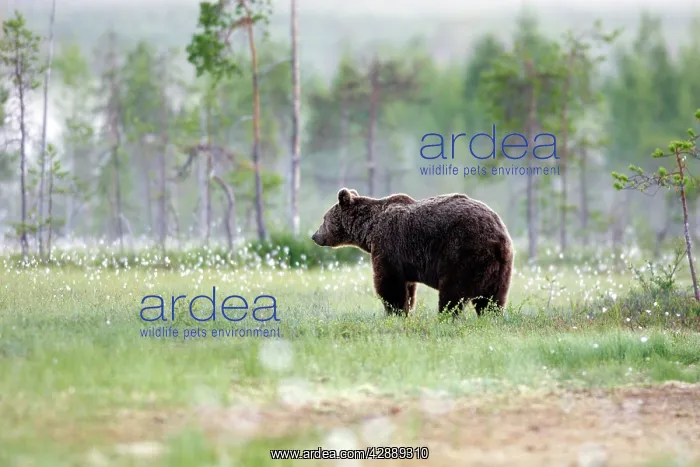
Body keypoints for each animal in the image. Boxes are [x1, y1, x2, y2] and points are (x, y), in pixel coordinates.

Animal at [311, 188, 514, 317]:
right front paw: (406, 309)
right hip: (500, 268)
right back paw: (489, 316)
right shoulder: (406, 260)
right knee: (493, 297)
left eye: (324, 218)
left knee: (453, 291)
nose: (314, 236)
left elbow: (389, 283)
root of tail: (499, 237)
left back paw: (445, 316)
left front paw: (395, 312)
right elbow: (408, 288)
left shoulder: (388, 245)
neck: (369, 229)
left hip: (461, 252)